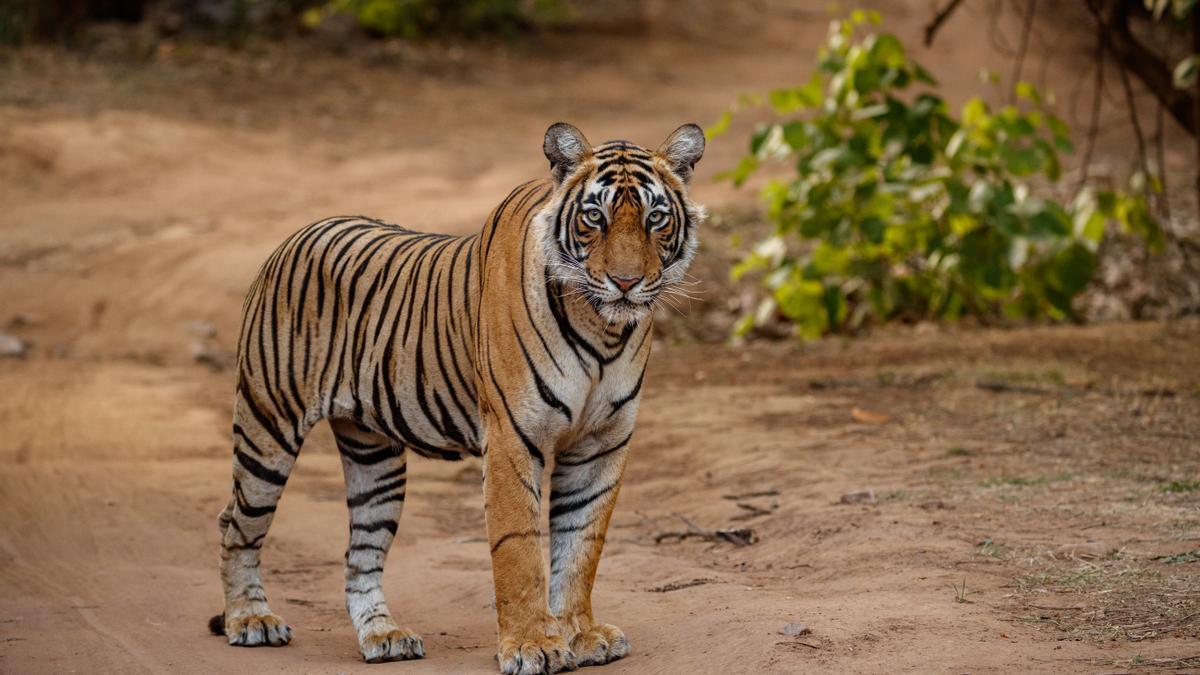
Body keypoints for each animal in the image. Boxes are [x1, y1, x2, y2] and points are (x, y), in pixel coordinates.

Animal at [210, 122, 706, 674]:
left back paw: (384, 635)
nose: (625, 282)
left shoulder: (601, 444)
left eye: (655, 218)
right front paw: (532, 645)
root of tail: (295, 236)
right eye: (594, 217)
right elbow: (519, 548)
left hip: (375, 460)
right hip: (267, 426)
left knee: (360, 555)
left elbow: (581, 544)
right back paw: (251, 620)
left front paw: (580, 634)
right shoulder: (514, 439)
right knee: (235, 524)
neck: (604, 330)